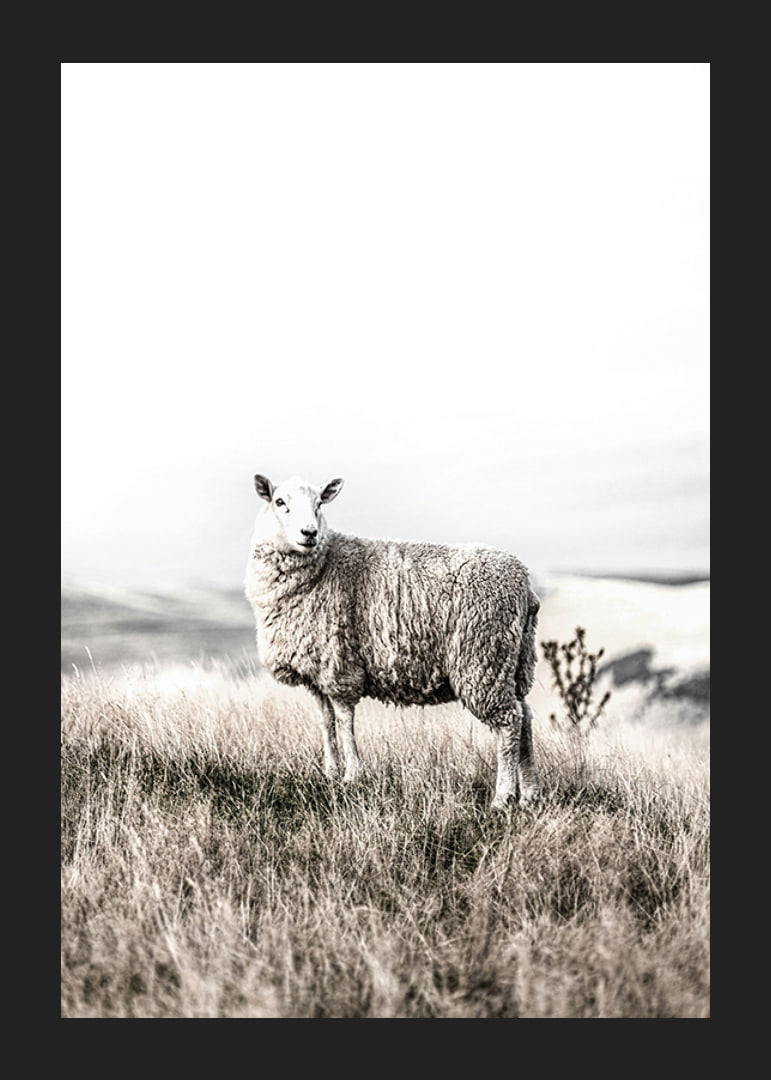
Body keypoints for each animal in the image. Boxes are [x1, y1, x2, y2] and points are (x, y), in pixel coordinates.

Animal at [244, 473, 541, 808]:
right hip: (514, 661)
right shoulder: (317, 672)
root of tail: (525, 584)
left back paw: (503, 797)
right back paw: (530, 795)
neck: (323, 567)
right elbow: (326, 722)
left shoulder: (340, 665)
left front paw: (352, 775)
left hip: (483, 657)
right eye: (279, 502)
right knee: (525, 718)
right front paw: (330, 772)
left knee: (509, 722)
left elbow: (344, 721)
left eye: (320, 503)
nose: (309, 533)